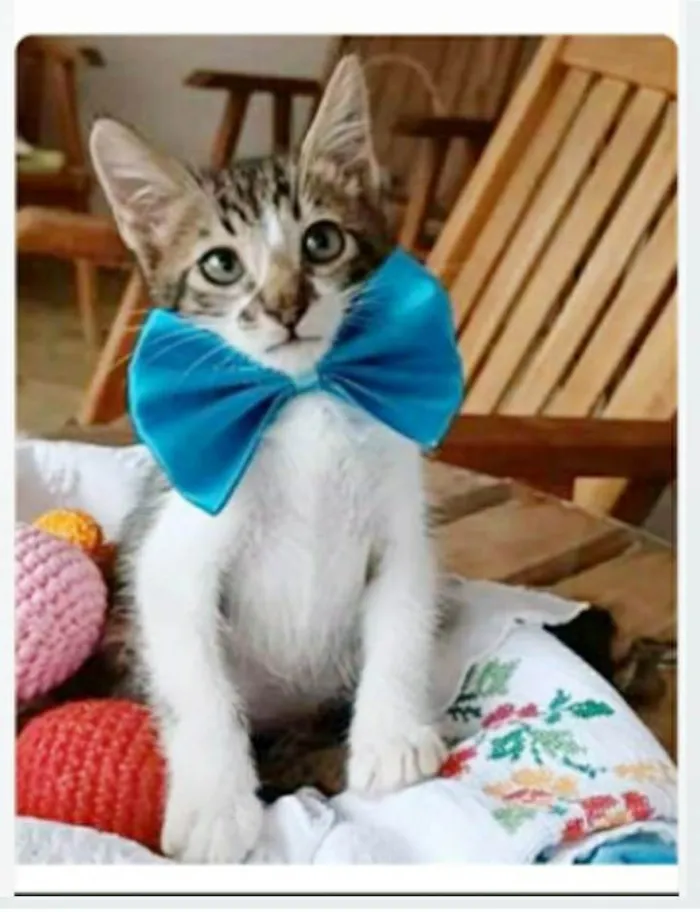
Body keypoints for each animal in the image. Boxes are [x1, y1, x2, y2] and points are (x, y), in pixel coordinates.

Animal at [89, 55, 446, 864]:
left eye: (322, 242)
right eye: (221, 264)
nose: (286, 305)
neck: (302, 399)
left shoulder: (401, 530)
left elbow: (404, 621)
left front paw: (391, 738)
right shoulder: (173, 550)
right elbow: (194, 682)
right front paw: (216, 805)